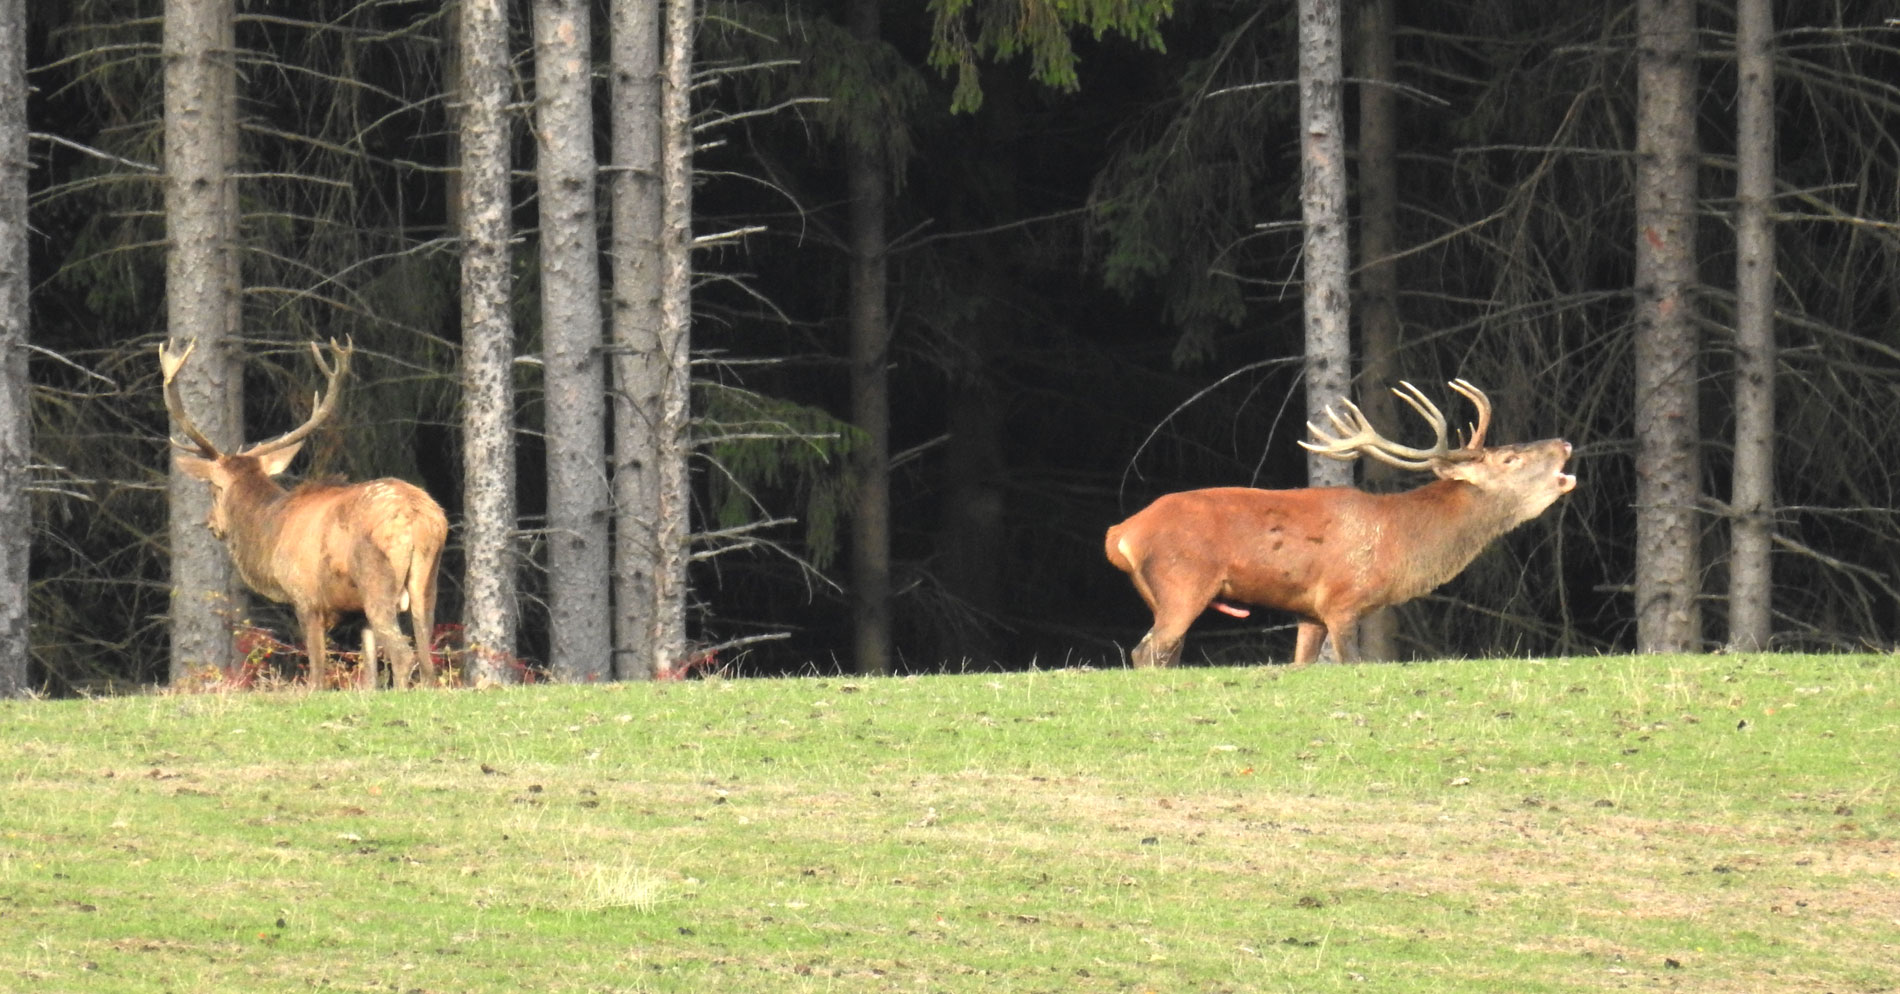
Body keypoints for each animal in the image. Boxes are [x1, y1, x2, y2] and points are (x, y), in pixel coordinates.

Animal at [159, 338, 448, 688]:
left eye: (214, 488)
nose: (211, 523)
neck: (270, 537)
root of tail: (417, 516)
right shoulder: (357, 613)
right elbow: (368, 675)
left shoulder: (305, 597)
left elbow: (317, 674)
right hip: (427, 579)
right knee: (426, 657)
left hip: (376, 578)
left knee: (403, 654)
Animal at [1102, 382, 1573, 669]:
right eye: (1509, 458)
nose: (1564, 442)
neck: (1399, 543)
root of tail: (1120, 534)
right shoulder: (1342, 600)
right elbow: (1353, 661)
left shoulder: (1309, 611)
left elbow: (1301, 663)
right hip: (1182, 581)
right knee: (1147, 650)